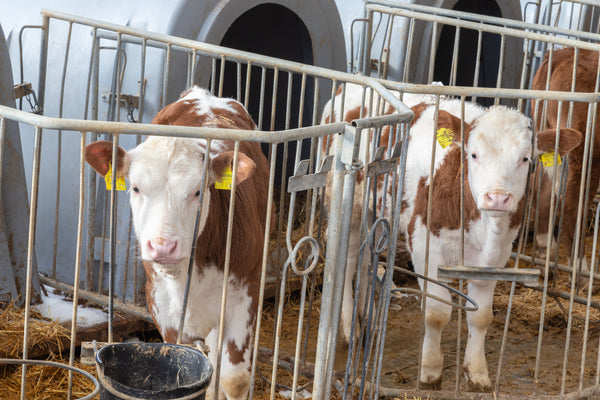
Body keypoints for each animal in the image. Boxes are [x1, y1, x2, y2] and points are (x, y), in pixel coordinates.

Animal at [85, 87, 272, 400]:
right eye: (135, 187)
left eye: (198, 191)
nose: (162, 246)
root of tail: (203, 94)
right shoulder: (161, 302)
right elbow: (179, 358)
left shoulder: (245, 294)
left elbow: (234, 379)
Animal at [404, 100, 580, 390]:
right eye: (473, 155)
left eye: (525, 158)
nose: (497, 198)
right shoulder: (423, 245)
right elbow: (436, 312)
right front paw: (430, 371)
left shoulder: (496, 258)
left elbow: (481, 317)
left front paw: (476, 373)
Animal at [532, 46, 596, 272]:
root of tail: (563, 54)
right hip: (586, 149)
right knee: (573, 206)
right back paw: (580, 269)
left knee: (542, 189)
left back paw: (546, 251)